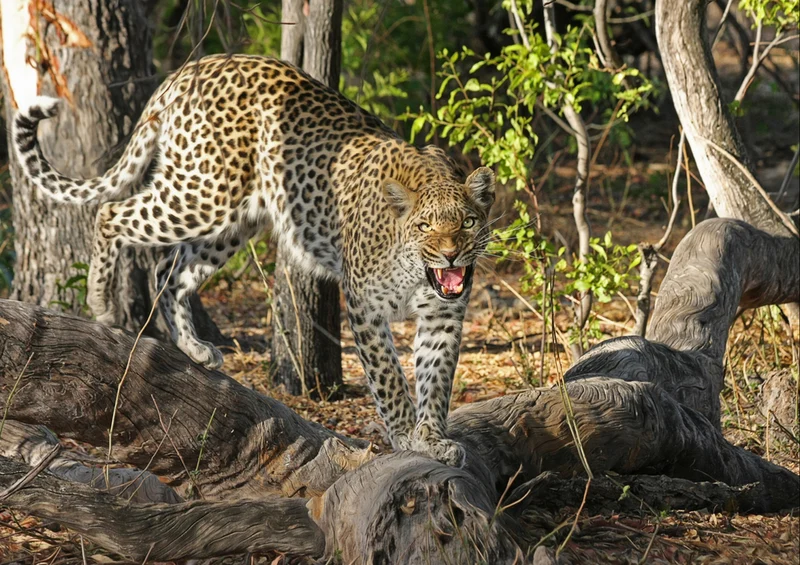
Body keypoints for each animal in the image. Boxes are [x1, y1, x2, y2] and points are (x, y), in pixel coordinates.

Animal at [12, 53, 495, 466]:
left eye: (469, 222)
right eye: (425, 226)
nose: (451, 253)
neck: (417, 271)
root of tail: (190, 68)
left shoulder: (443, 316)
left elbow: (436, 380)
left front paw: (432, 439)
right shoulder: (364, 307)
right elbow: (390, 379)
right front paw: (405, 435)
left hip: (232, 221)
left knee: (168, 271)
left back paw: (193, 347)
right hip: (203, 193)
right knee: (111, 213)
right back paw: (102, 303)